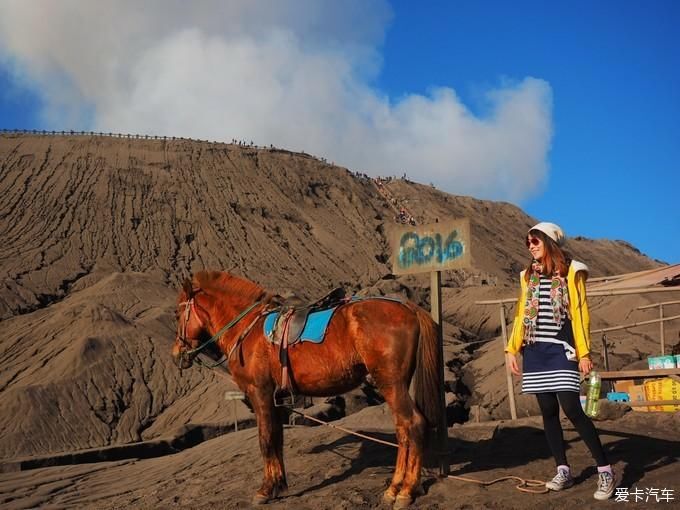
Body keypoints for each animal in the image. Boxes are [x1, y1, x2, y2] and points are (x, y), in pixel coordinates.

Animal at [173, 270, 444, 506]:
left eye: (177, 314)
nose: (177, 355)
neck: (248, 328)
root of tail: (409, 308)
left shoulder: (259, 393)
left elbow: (265, 439)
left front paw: (265, 490)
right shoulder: (276, 399)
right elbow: (277, 438)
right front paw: (279, 484)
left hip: (390, 383)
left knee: (412, 425)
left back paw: (405, 491)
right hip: (395, 385)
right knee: (403, 429)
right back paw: (395, 487)